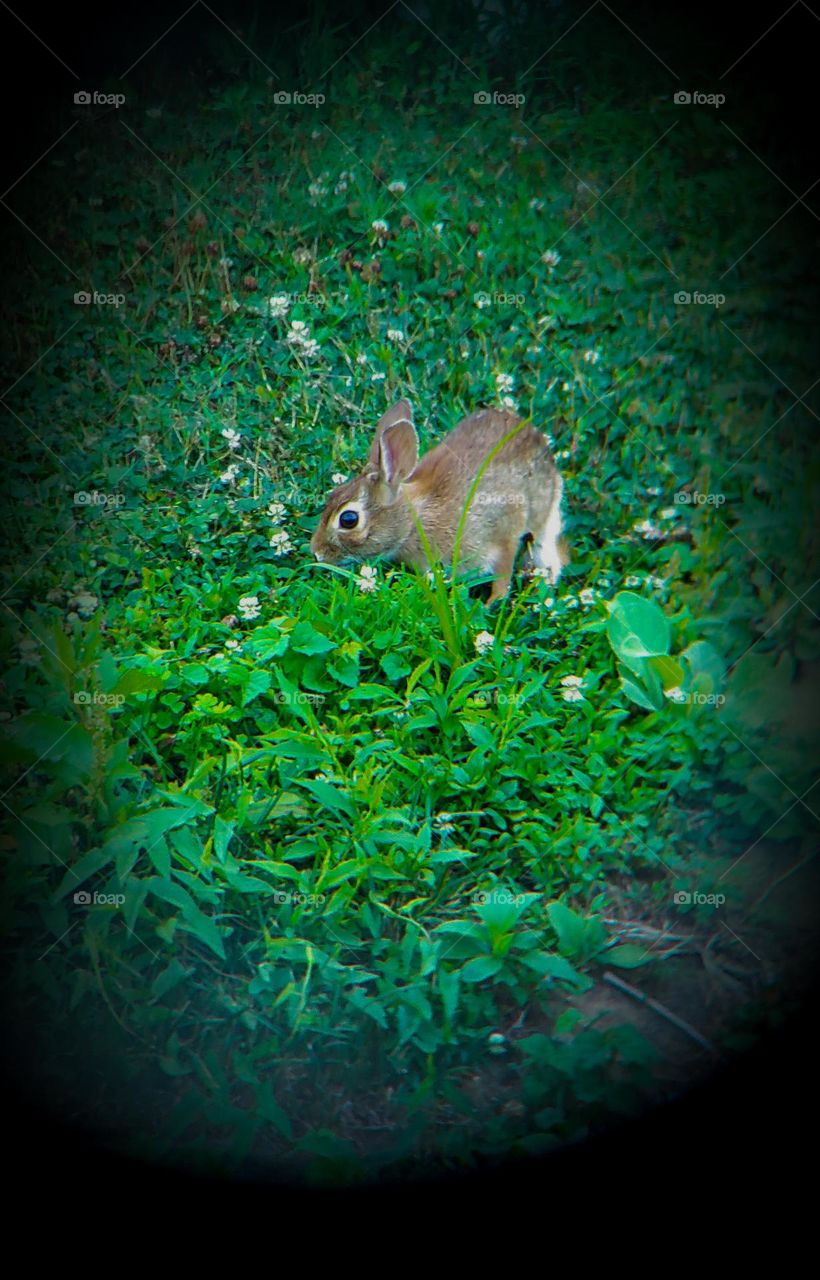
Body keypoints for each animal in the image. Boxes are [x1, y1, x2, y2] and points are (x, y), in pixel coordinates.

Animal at [310, 398, 566, 602]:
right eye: (332, 494)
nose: (317, 553)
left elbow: (502, 579)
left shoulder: (502, 537)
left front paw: (490, 605)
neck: (414, 522)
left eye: (348, 519)